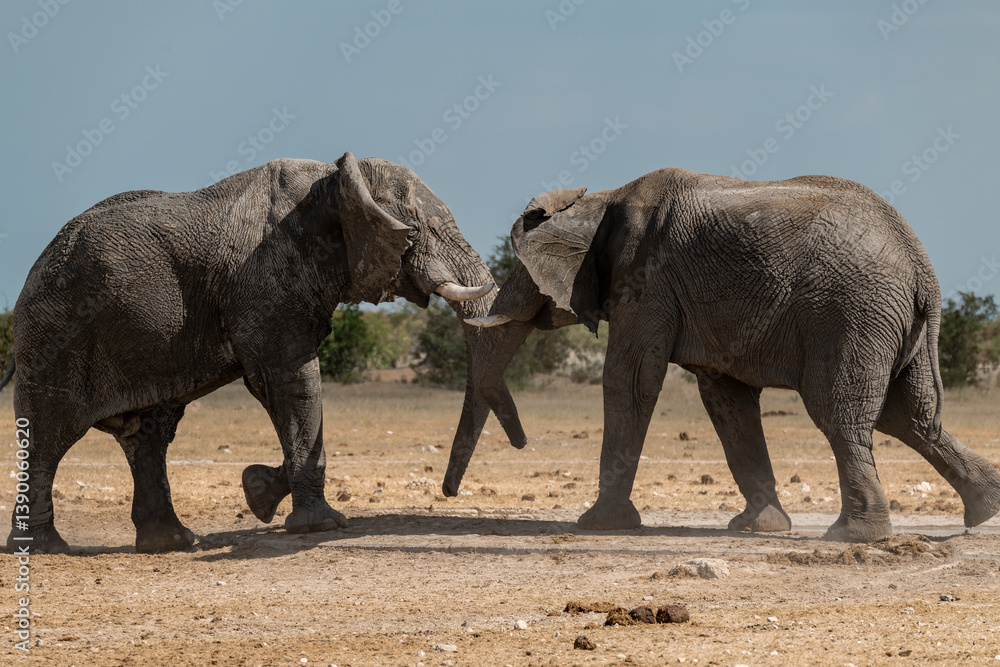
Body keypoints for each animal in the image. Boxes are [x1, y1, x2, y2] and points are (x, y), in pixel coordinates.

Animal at [3, 151, 506, 553]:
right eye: (418, 230)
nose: (448, 493)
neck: (337, 179)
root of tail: (33, 271)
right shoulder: (267, 282)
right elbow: (291, 380)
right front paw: (319, 527)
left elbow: (279, 387)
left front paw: (258, 492)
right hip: (54, 335)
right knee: (49, 432)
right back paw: (45, 548)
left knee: (150, 432)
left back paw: (172, 543)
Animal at [443, 167, 1000, 543]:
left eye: (522, 269)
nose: (521, 443)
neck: (601, 198)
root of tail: (922, 265)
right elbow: (725, 399)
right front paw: (758, 527)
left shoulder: (647, 281)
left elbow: (630, 379)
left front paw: (598, 526)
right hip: (888, 323)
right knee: (907, 417)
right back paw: (987, 511)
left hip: (851, 314)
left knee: (839, 413)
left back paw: (853, 537)